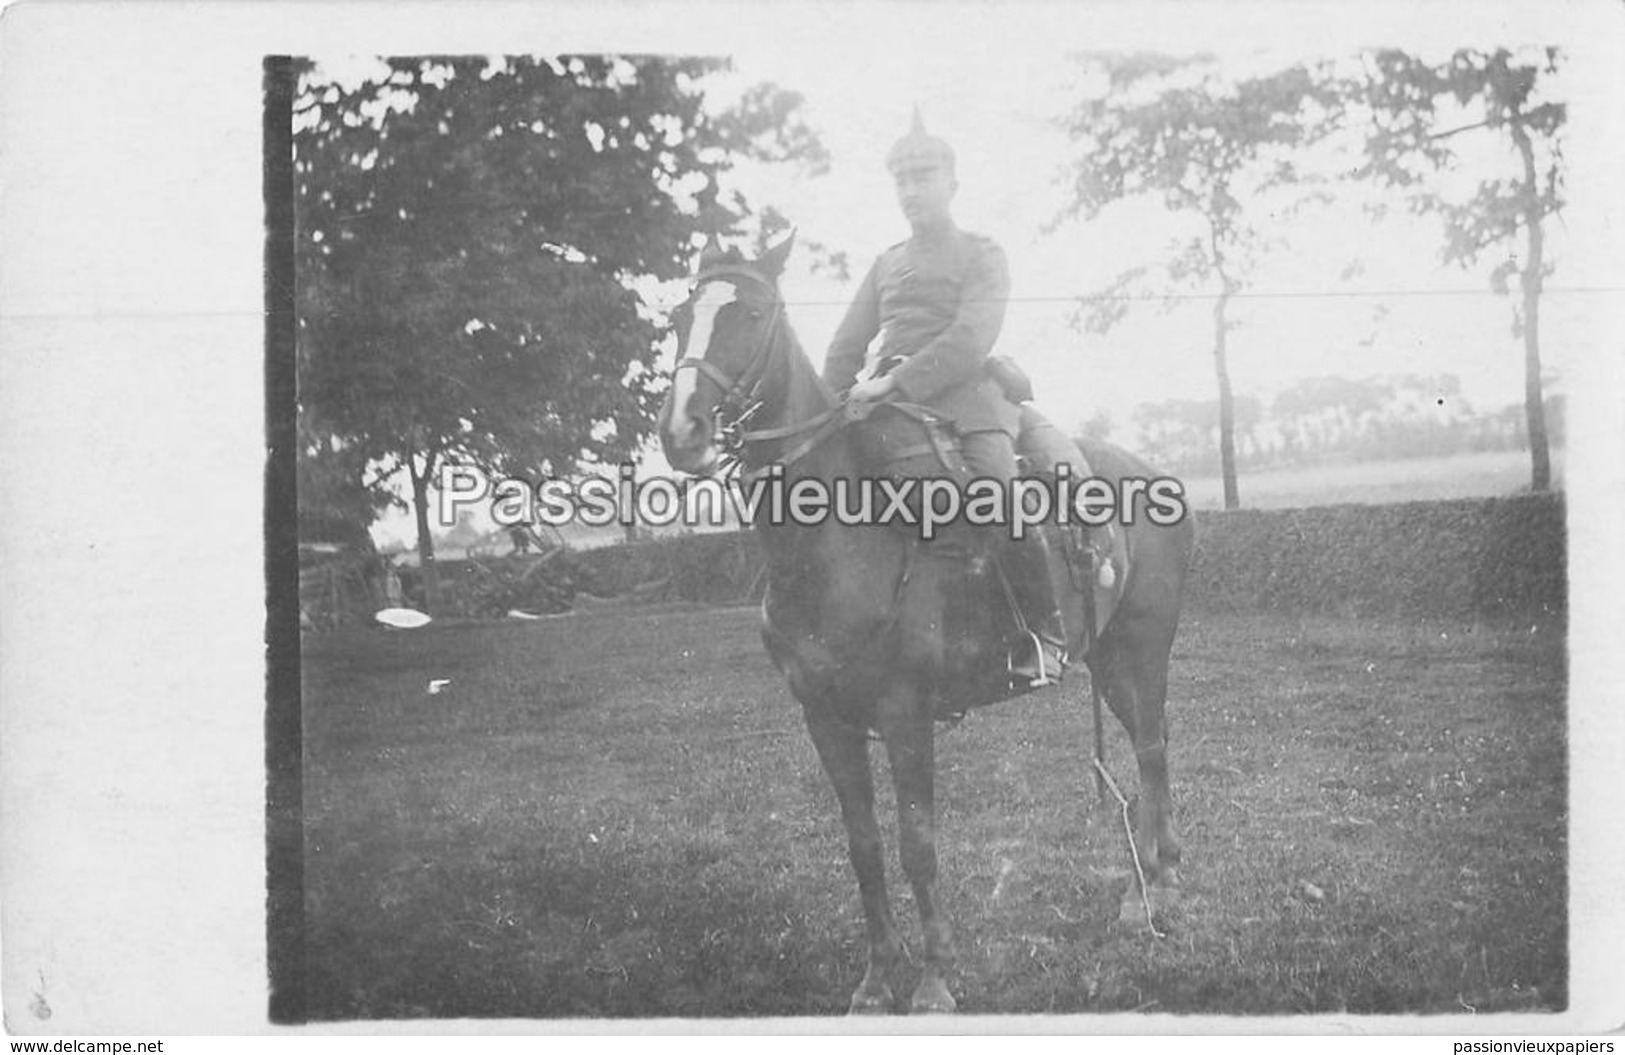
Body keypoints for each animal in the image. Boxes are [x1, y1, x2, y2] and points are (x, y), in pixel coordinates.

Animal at [650, 238, 1196, 1014]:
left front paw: (935, 979)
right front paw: (877, 977)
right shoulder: (826, 719)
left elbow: (918, 846)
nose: (682, 430)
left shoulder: (906, 713)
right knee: (1151, 746)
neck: (838, 544)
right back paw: (1155, 872)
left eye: (750, 313)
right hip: (1111, 658)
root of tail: (1152, 471)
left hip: (1140, 649)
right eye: (676, 318)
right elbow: (865, 848)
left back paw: (1152, 885)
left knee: (1150, 747)